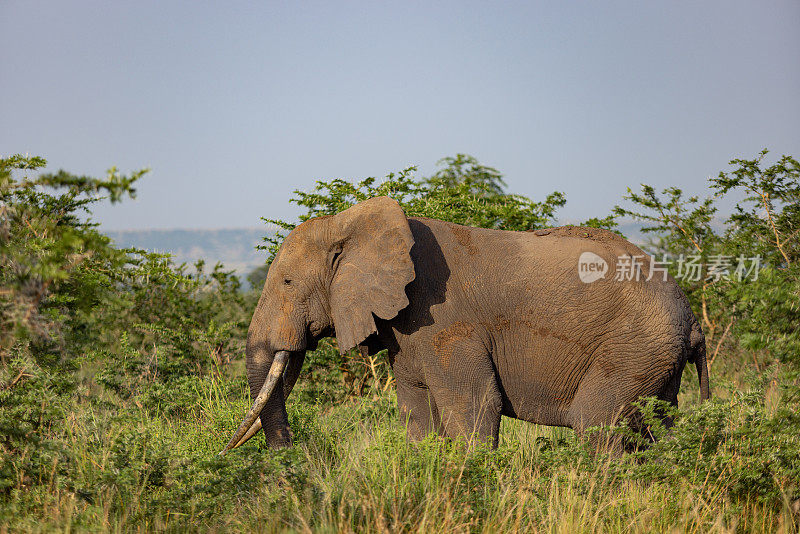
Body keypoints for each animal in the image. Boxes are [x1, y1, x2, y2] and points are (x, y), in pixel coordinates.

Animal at [217, 197, 708, 456]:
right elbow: (414, 408)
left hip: (632, 349)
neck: (350, 220)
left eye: (286, 282)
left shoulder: (448, 323)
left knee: (598, 428)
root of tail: (691, 320)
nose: (292, 459)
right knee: (656, 433)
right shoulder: (409, 332)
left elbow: (472, 407)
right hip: (654, 360)